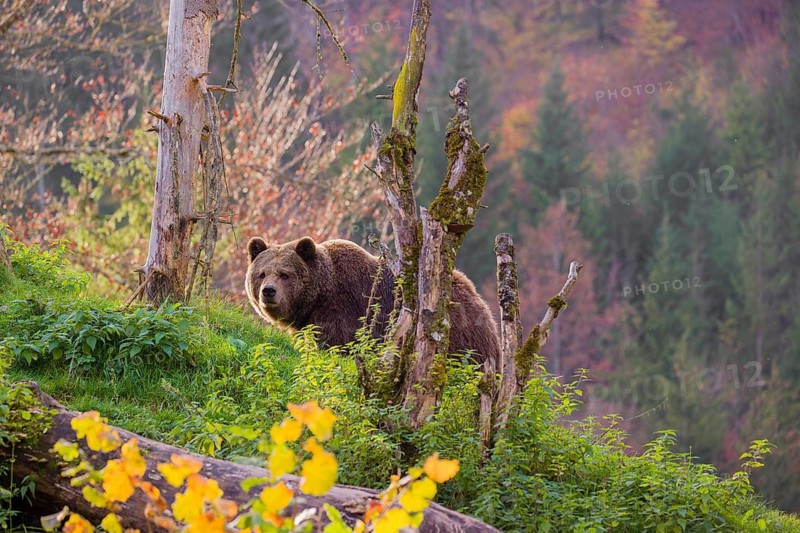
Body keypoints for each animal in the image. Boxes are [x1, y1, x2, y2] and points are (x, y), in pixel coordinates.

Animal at [245, 236, 500, 366]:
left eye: (285, 274)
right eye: (262, 273)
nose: (268, 291)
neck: (319, 296)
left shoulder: (346, 310)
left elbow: (337, 346)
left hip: (459, 337)